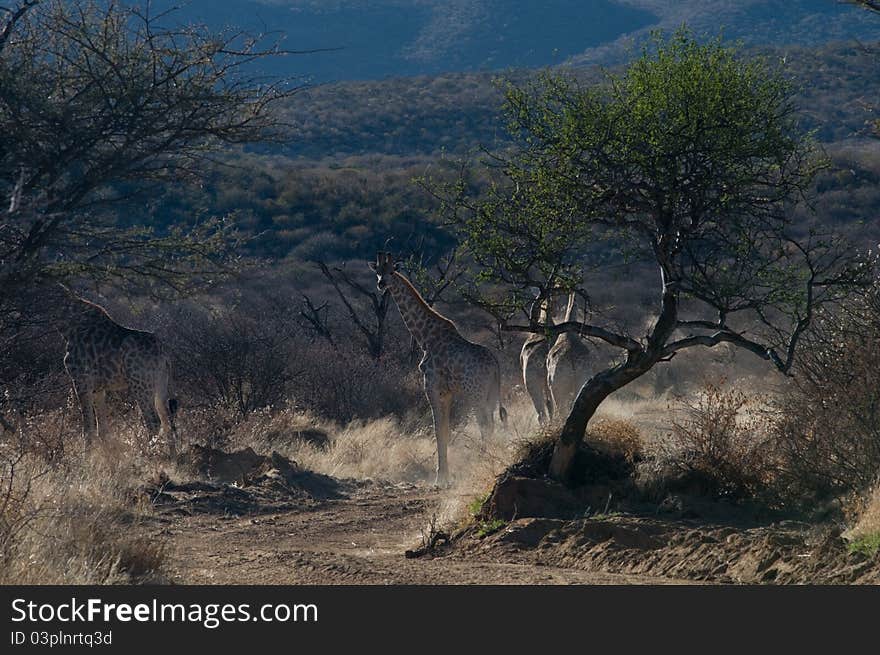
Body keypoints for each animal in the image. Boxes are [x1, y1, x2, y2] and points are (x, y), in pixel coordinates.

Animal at [61, 290, 178, 454]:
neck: (67, 326)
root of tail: (164, 354)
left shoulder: (81, 381)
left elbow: (88, 428)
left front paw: (86, 457)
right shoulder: (98, 388)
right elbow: (102, 429)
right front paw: (108, 456)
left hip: (140, 385)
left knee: (153, 421)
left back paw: (146, 454)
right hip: (161, 384)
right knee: (167, 419)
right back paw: (173, 456)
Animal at [372, 251, 508, 486]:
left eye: (391, 272)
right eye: (378, 271)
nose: (381, 284)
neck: (425, 337)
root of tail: (495, 365)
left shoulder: (433, 388)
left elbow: (438, 431)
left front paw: (440, 477)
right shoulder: (448, 393)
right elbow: (445, 429)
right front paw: (445, 475)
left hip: (475, 394)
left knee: (485, 424)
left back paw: (483, 461)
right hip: (490, 393)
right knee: (490, 423)